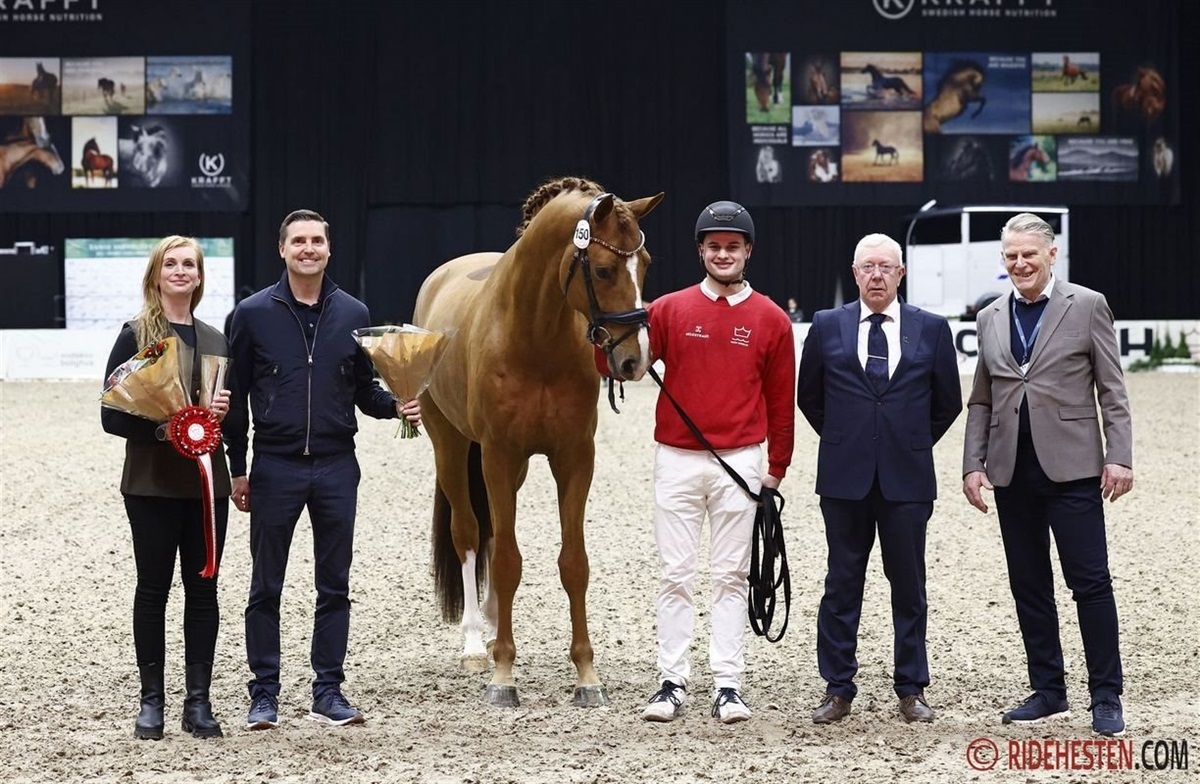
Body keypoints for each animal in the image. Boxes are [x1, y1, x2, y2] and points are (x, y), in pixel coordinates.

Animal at [412, 176, 663, 708]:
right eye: (605, 269)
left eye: (646, 264)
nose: (635, 359)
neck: (534, 336)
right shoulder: (498, 455)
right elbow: (508, 560)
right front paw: (503, 676)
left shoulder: (574, 457)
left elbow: (574, 563)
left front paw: (587, 676)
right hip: (451, 446)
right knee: (469, 533)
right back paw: (474, 643)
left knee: (490, 529)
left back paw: (490, 626)